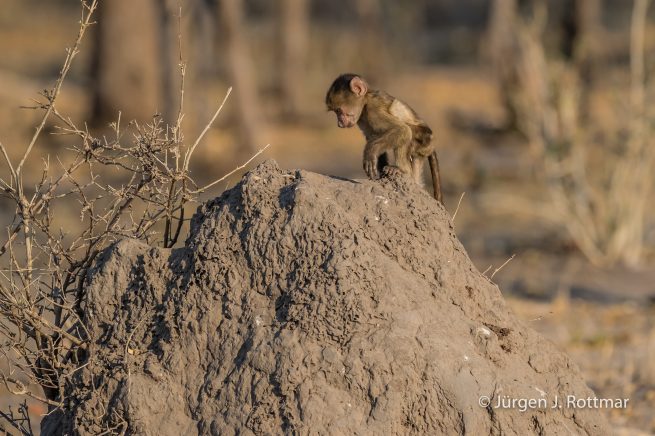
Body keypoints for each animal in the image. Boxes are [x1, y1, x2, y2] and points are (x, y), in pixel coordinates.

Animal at [325, 73, 443, 203]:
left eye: (338, 110)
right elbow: (373, 137)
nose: (339, 123)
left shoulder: (373, 110)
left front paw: (370, 153)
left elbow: (401, 129)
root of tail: (432, 145)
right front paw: (380, 174)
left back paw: (403, 170)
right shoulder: (362, 119)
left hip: (425, 140)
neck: (366, 101)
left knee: (408, 132)